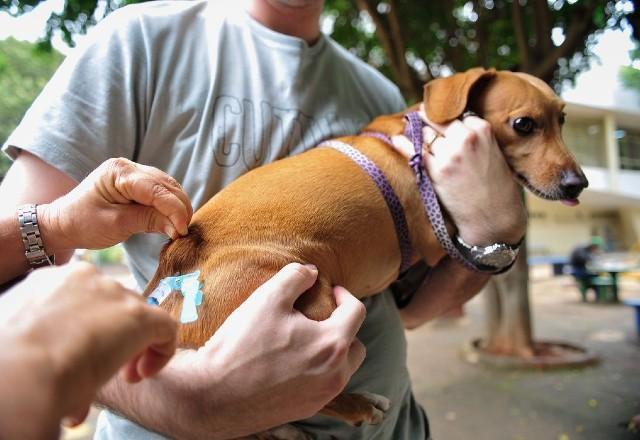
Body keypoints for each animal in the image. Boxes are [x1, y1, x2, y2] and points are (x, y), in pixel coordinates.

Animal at [142, 68, 588, 426]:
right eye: (524, 124)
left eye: (563, 119)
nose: (578, 184)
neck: (418, 138)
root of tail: (176, 265)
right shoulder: (437, 239)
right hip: (314, 303)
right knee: (298, 398)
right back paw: (357, 405)